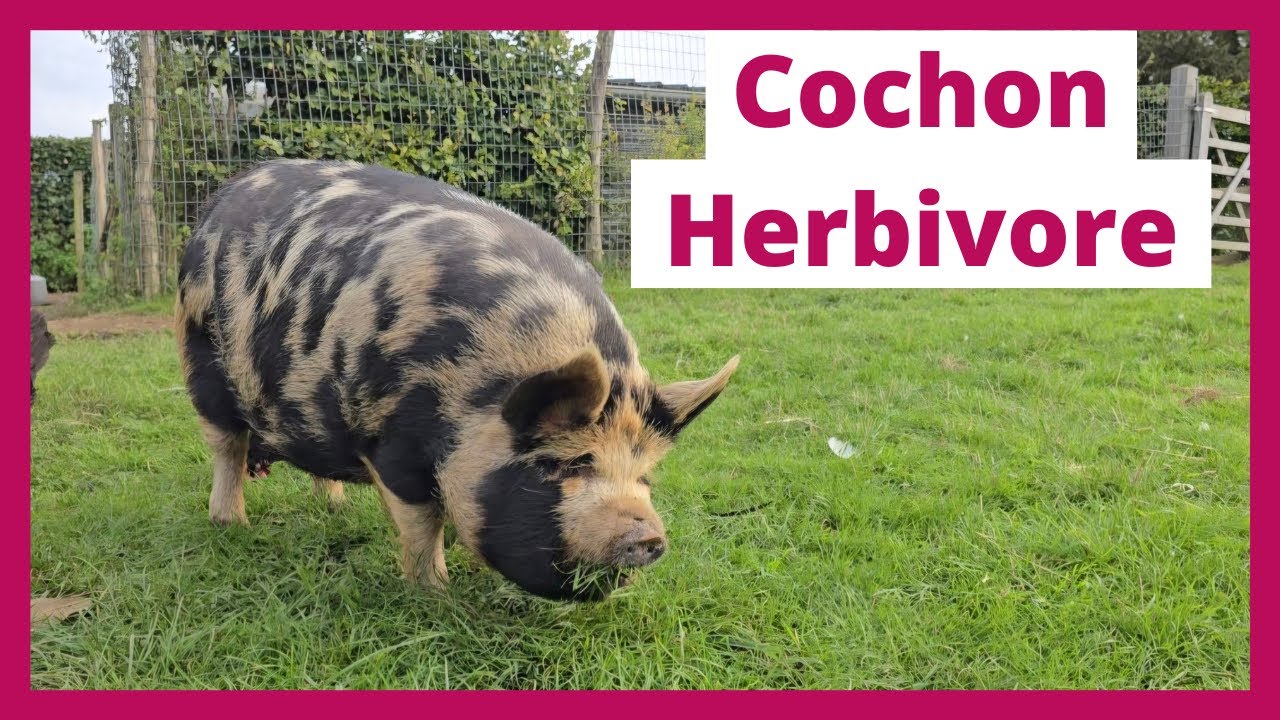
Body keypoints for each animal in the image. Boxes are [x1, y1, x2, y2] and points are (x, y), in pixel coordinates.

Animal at [174, 159, 739, 601]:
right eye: (566, 464)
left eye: (646, 476)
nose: (648, 538)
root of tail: (223, 197)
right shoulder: (391, 438)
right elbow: (424, 519)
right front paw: (437, 593)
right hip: (200, 357)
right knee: (226, 448)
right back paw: (232, 524)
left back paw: (332, 508)